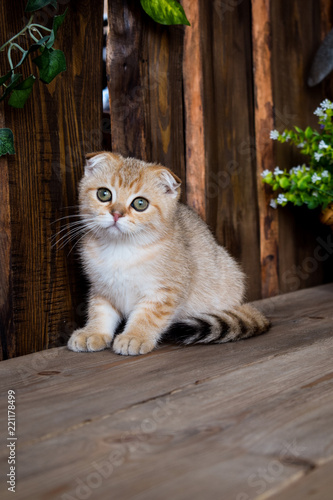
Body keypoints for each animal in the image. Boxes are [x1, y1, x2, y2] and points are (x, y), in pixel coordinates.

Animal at [67, 152, 270, 356]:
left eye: (140, 203)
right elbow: (100, 312)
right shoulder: (102, 288)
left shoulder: (164, 293)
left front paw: (135, 336)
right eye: (104, 194)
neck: (121, 248)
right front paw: (93, 332)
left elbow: (147, 316)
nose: (116, 214)